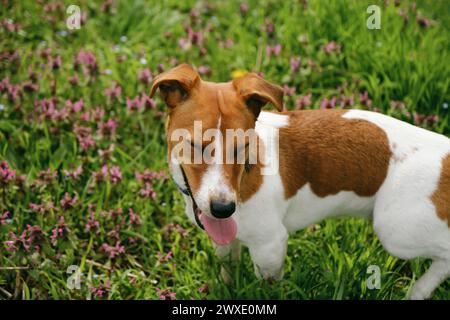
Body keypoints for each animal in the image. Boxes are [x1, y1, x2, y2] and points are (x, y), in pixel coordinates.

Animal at [151, 63, 450, 300]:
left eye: (242, 147)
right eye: (195, 146)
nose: (224, 209)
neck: (248, 175)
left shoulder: (270, 247)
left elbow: (267, 287)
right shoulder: (225, 238)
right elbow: (228, 265)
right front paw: (226, 286)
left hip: (396, 231)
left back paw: (419, 290)